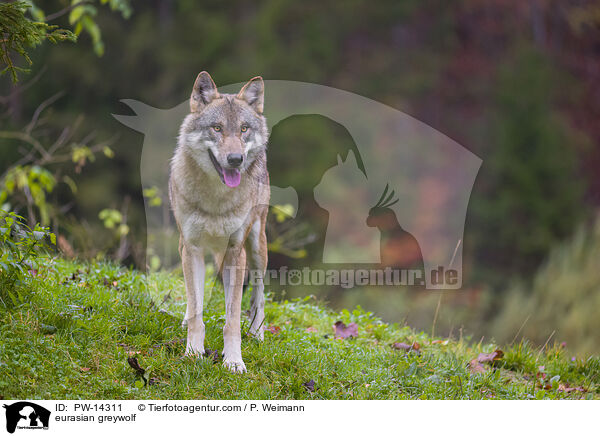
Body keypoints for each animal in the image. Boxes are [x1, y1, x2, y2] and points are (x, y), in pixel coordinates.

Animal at [170, 71, 270, 372]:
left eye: (244, 129)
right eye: (216, 128)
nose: (236, 159)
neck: (216, 199)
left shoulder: (236, 252)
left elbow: (232, 319)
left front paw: (234, 361)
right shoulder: (191, 248)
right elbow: (196, 309)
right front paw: (193, 352)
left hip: (257, 247)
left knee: (258, 293)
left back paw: (257, 333)